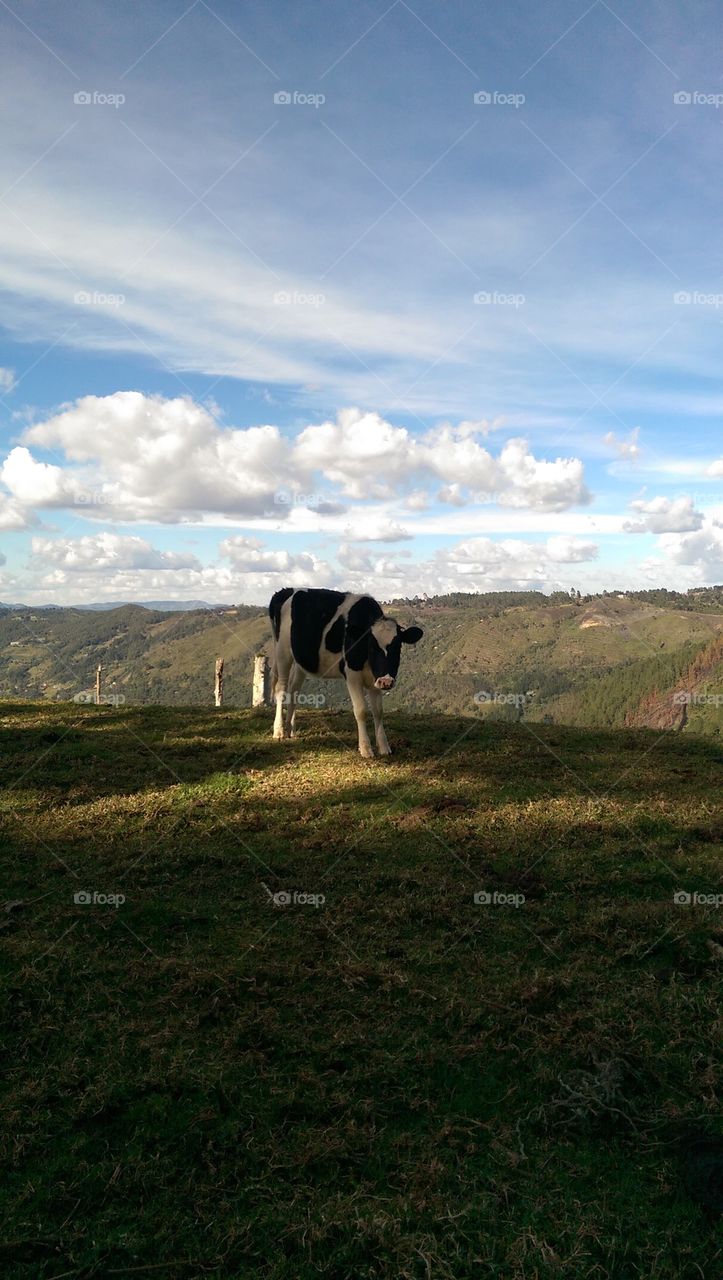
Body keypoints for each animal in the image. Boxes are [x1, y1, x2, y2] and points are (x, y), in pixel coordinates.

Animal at [268, 588, 423, 757]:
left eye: (398, 646)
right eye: (371, 646)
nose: (386, 681)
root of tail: (284, 591)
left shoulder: (374, 678)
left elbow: (378, 711)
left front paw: (383, 746)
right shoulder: (352, 674)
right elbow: (361, 710)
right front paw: (365, 748)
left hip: (300, 660)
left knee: (294, 689)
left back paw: (290, 729)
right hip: (282, 651)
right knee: (281, 688)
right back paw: (279, 731)